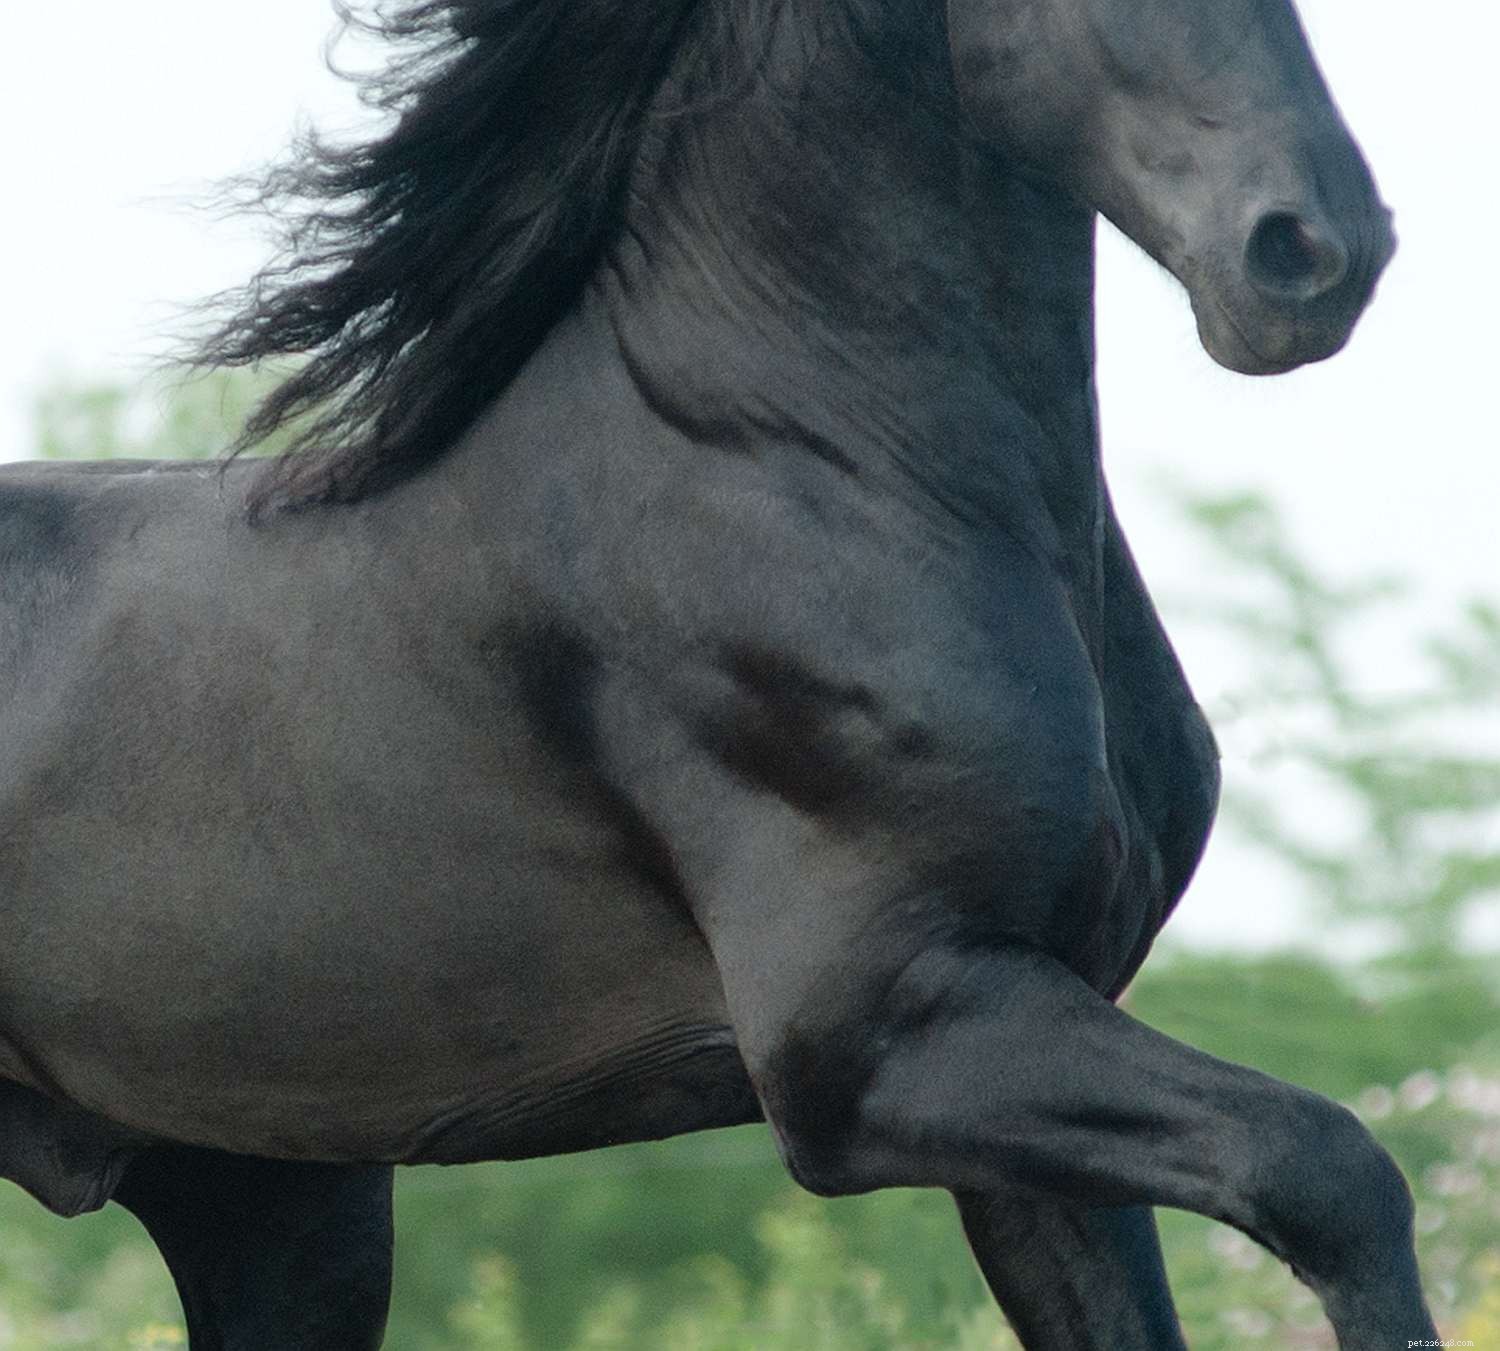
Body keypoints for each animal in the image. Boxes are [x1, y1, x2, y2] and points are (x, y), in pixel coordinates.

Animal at [0, 0, 1434, 1346]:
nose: (1312, 254)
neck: (798, 461)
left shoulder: (1034, 1053)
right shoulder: (879, 1038)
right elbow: (1332, 1167)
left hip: (277, 1200)